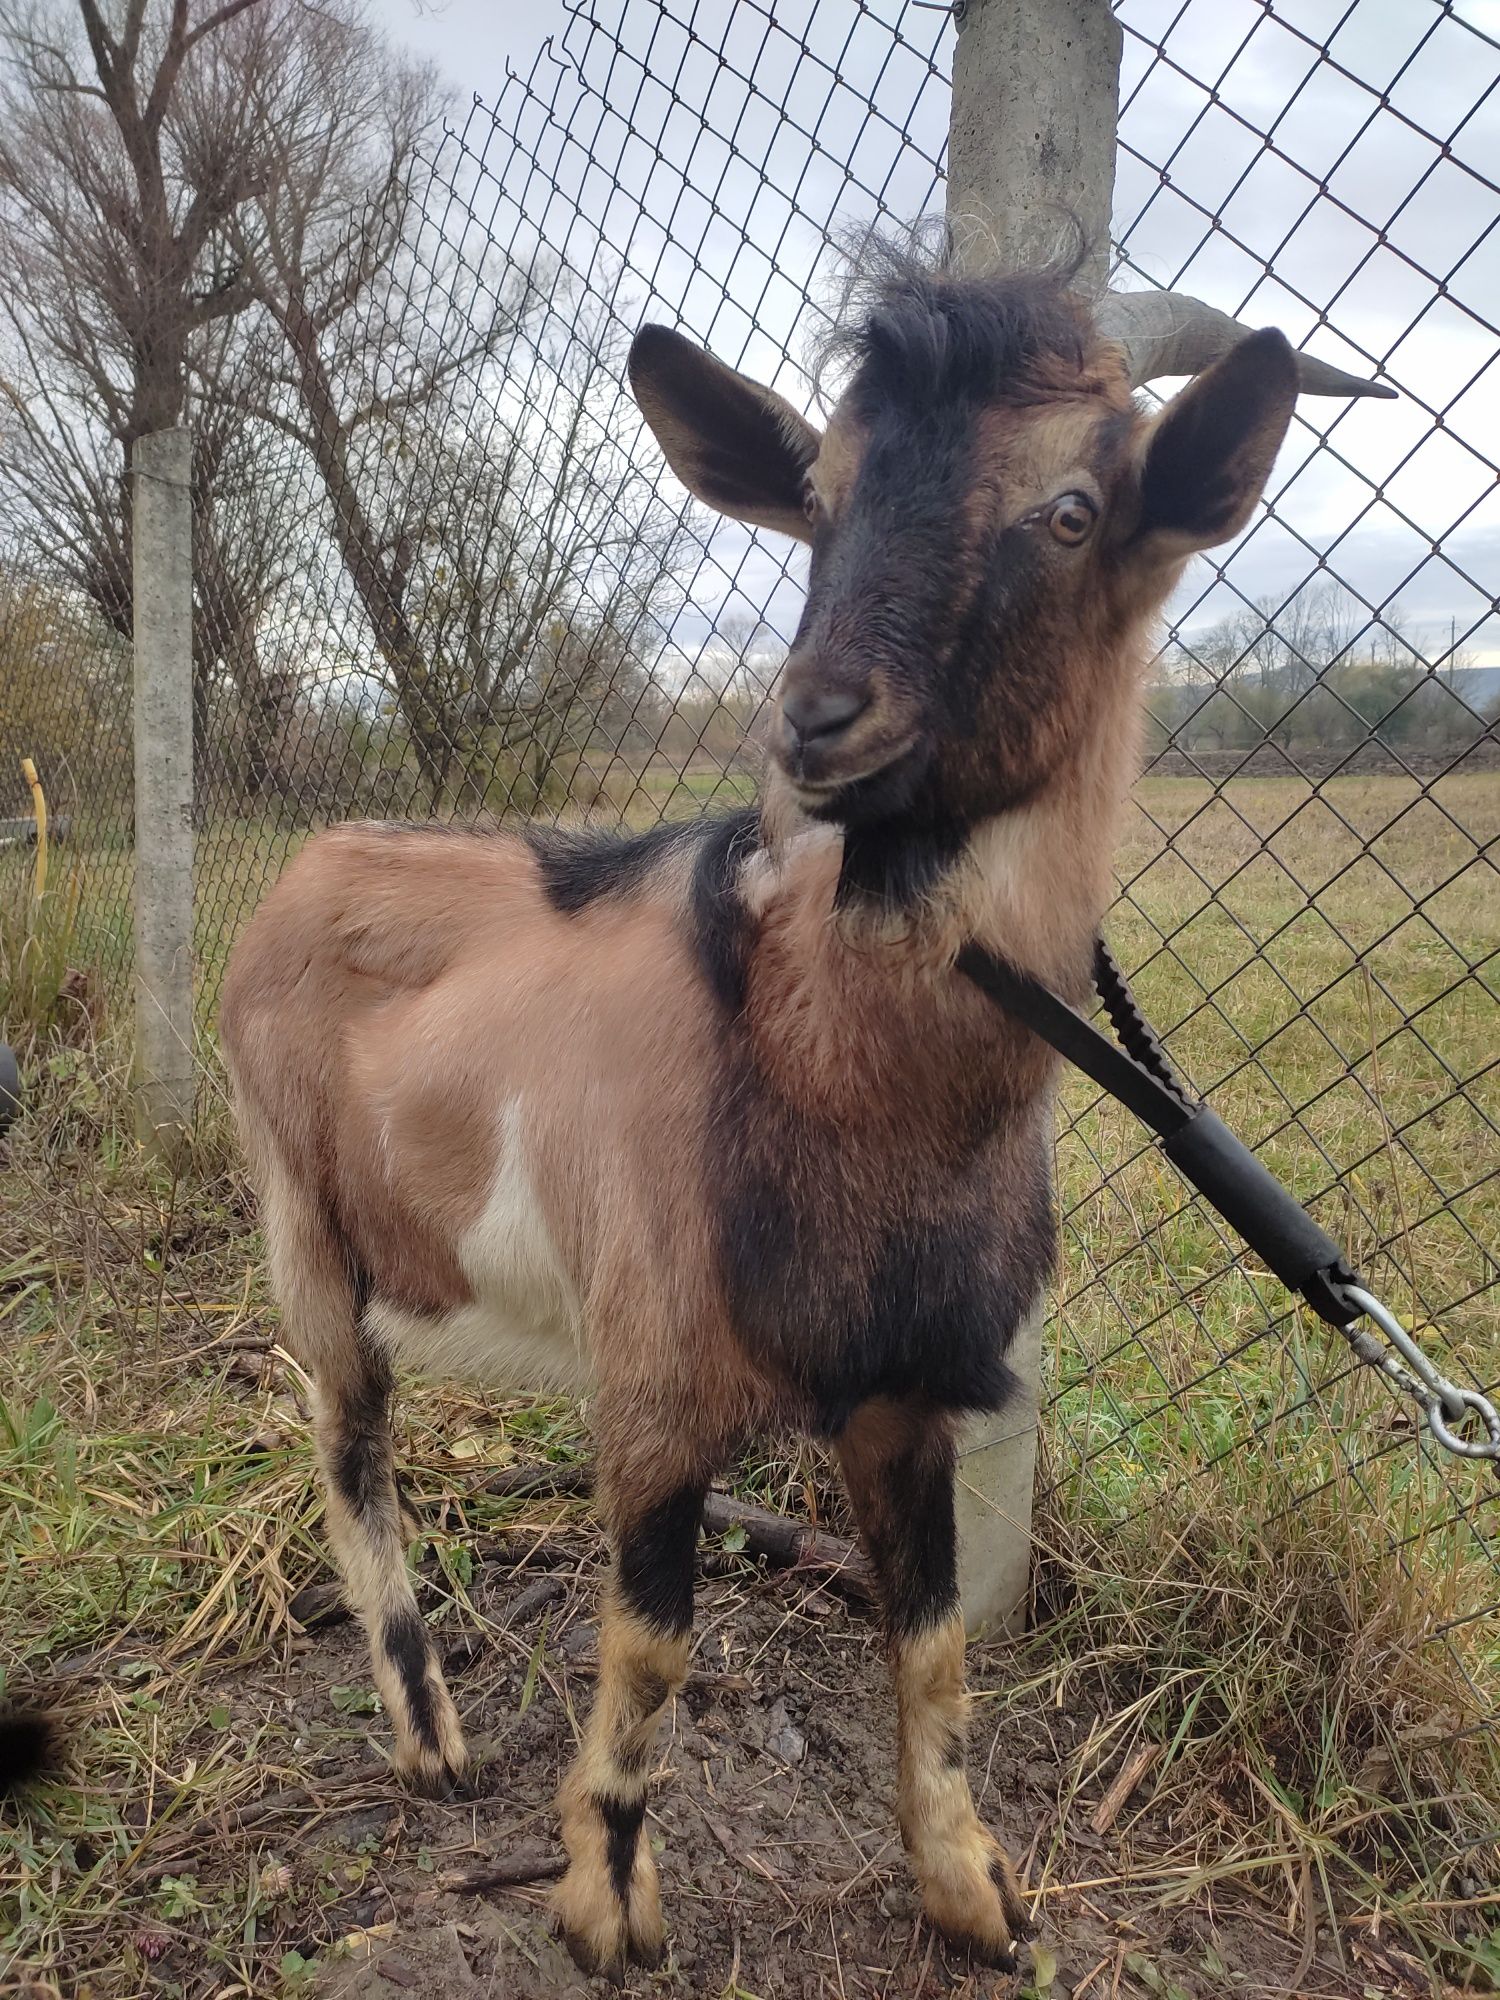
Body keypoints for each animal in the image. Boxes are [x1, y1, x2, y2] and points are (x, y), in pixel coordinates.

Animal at [220, 242, 1384, 1976]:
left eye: (1072, 508)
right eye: (822, 493)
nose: (817, 715)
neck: (829, 1078)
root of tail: (309, 863)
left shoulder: (909, 1394)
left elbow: (936, 1648)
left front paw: (977, 1898)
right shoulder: (652, 1385)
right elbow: (650, 1651)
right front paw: (603, 1905)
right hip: (299, 1221)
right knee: (347, 1446)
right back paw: (432, 1744)